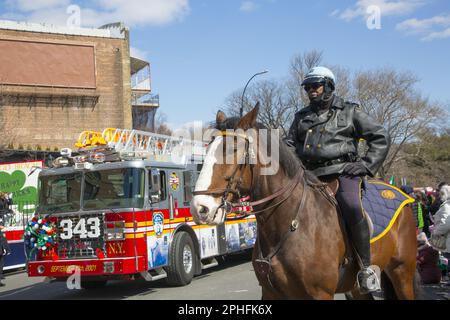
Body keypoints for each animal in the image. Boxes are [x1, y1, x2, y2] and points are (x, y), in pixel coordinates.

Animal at [191, 105, 418, 300]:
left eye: (233, 149)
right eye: (208, 149)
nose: (200, 207)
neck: (291, 223)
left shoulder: (320, 294)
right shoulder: (272, 293)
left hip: (402, 272)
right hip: (357, 288)